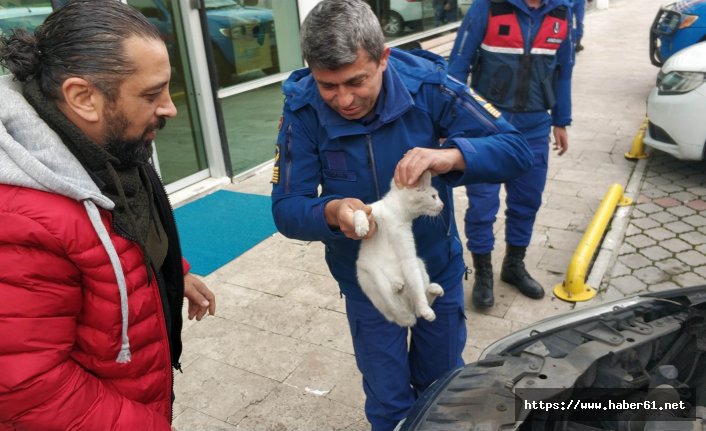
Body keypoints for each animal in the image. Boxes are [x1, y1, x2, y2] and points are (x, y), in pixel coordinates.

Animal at [352, 171, 446, 328]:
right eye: (434, 196)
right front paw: (362, 227)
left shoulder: (408, 257)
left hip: (419, 262)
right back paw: (396, 286)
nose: (442, 205)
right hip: (365, 277)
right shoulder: (372, 210)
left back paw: (429, 291)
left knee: (415, 307)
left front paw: (425, 310)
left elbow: (418, 289)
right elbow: (359, 211)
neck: (396, 216)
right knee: (394, 306)